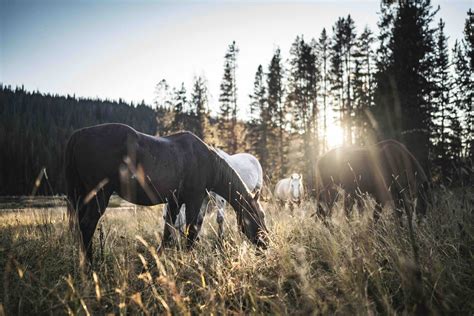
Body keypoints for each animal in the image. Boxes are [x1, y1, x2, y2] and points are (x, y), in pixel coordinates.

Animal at [65, 123, 268, 264]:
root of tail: (78, 135)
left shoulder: (174, 201)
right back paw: (90, 264)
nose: (266, 244)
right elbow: (191, 231)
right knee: (87, 225)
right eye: (257, 216)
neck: (209, 163)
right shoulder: (194, 199)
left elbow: (168, 232)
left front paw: (160, 259)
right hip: (99, 194)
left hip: (82, 196)